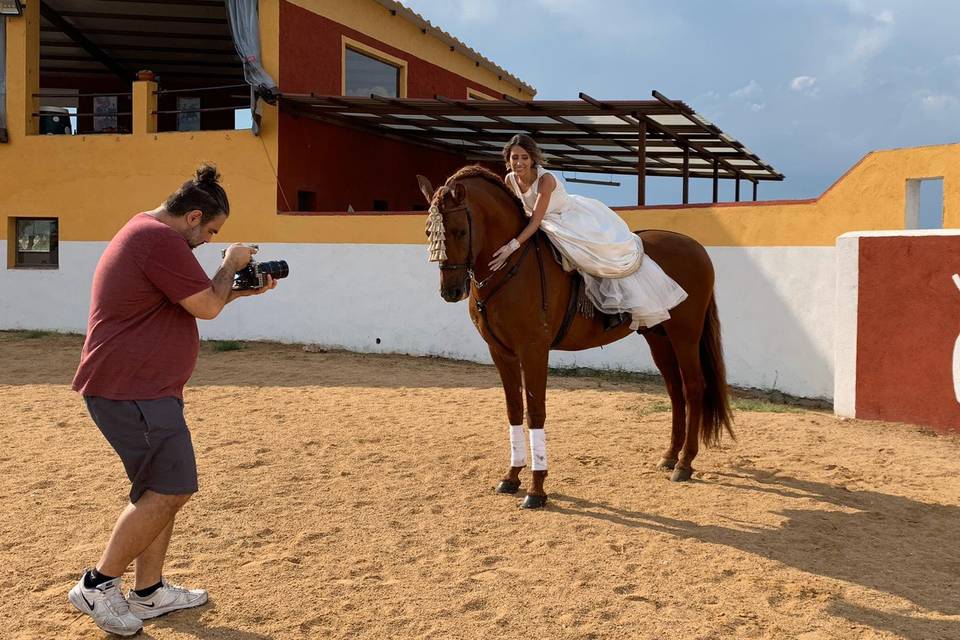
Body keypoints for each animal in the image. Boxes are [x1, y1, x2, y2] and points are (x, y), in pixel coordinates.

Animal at [417, 165, 733, 509]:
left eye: (460, 231)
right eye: (429, 233)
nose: (450, 291)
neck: (511, 265)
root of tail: (697, 248)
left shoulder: (534, 350)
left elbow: (535, 412)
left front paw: (536, 490)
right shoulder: (501, 352)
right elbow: (514, 410)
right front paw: (511, 477)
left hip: (685, 335)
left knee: (693, 388)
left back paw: (685, 463)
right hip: (658, 335)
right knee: (675, 391)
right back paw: (670, 456)